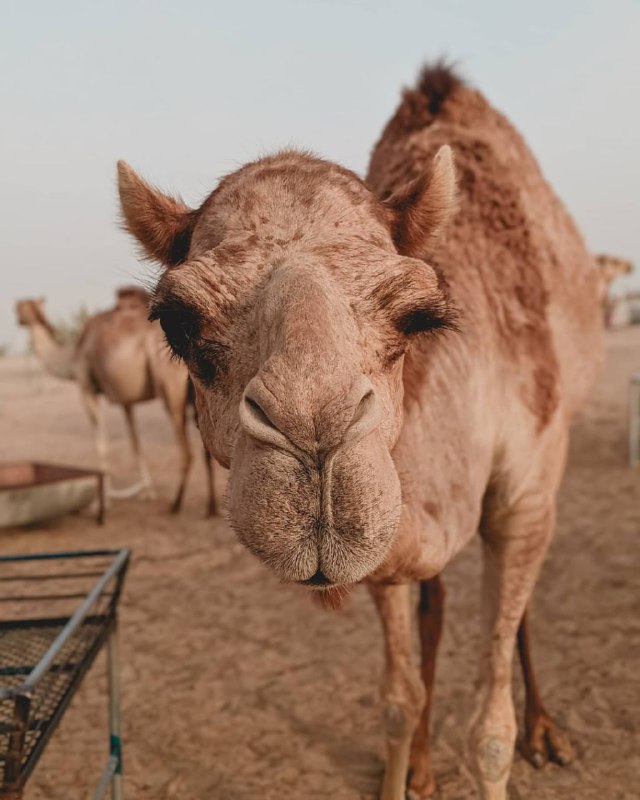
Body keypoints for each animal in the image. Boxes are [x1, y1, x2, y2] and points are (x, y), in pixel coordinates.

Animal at [15, 290, 218, 516]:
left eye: (21, 308)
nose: (18, 319)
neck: (71, 355)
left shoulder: (87, 388)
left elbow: (102, 445)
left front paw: (101, 503)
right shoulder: (125, 400)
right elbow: (135, 443)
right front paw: (147, 492)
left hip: (171, 389)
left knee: (187, 450)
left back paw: (176, 503)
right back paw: (211, 508)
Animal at [117, 64, 604, 800]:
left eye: (418, 315)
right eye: (177, 323)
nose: (317, 439)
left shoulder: (524, 497)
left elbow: (491, 732)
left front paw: (511, 737)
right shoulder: (390, 547)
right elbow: (397, 700)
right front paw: (408, 762)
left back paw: (547, 730)